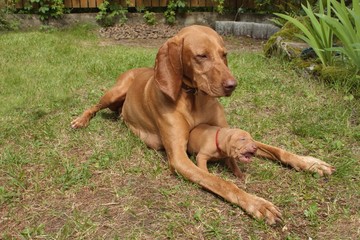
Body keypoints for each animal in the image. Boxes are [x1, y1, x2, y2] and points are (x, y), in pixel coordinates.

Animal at [71, 25, 336, 224]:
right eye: (201, 56)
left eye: (224, 54)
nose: (232, 85)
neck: (193, 98)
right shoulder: (179, 157)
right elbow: (222, 182)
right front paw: (256, 203)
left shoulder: (232, 135)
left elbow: (276, 149)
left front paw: (311, 163)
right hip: (115, 92)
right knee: (93, 107)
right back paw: (80, 120)